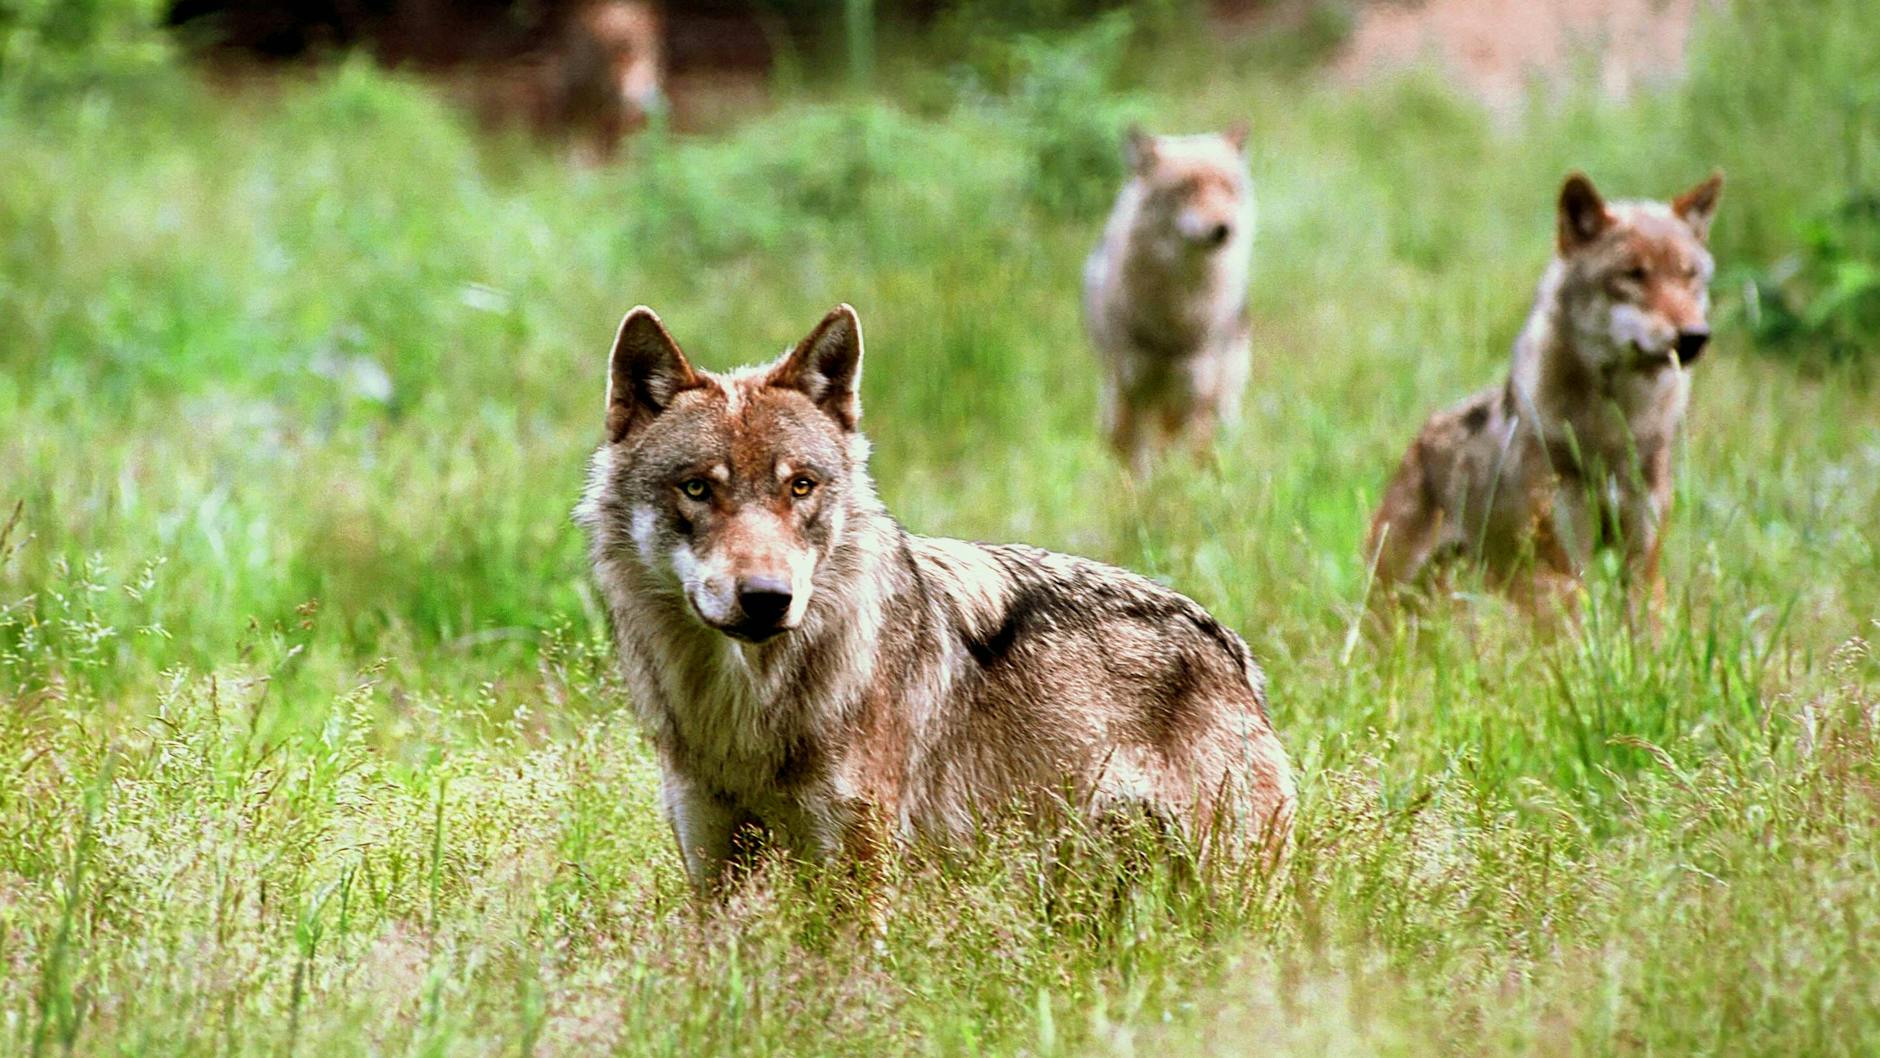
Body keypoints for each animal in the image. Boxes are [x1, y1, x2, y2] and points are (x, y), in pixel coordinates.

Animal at [575, 304, 1295, 895]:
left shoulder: (857, 872)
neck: (746, 712)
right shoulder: (711, 868)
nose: (767, 598)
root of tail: (1232, 649)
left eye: (801, 486)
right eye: (697, 488)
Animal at [1084, 124, 1255, 473]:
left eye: (1227, 187)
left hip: (1218, 404)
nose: (1224, 229)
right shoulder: (1131, 391)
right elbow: (1132, 466)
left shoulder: (1196, 396)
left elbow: (1189, 463)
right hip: (1116, 399)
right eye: (1186, 188)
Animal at [1366, 171, 1724, 612]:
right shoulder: (1560, 567)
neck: (1612, 426)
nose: (1694, 337)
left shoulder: (1642, 564)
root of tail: (1419, 439)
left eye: (1688, 276)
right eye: (1633, 274)